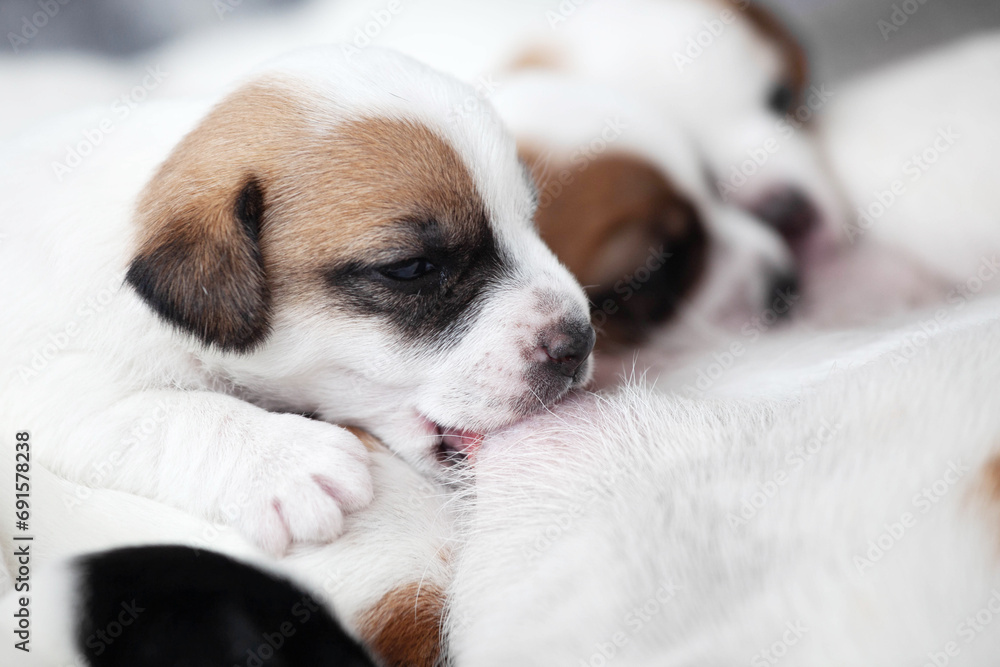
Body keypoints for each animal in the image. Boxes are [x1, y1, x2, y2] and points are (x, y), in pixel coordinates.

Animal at [0, 47, 592, 556]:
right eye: (412, 269)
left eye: (529, 220)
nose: (580, 341)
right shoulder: (46, 387)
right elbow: (152, 410)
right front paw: (284, 459)